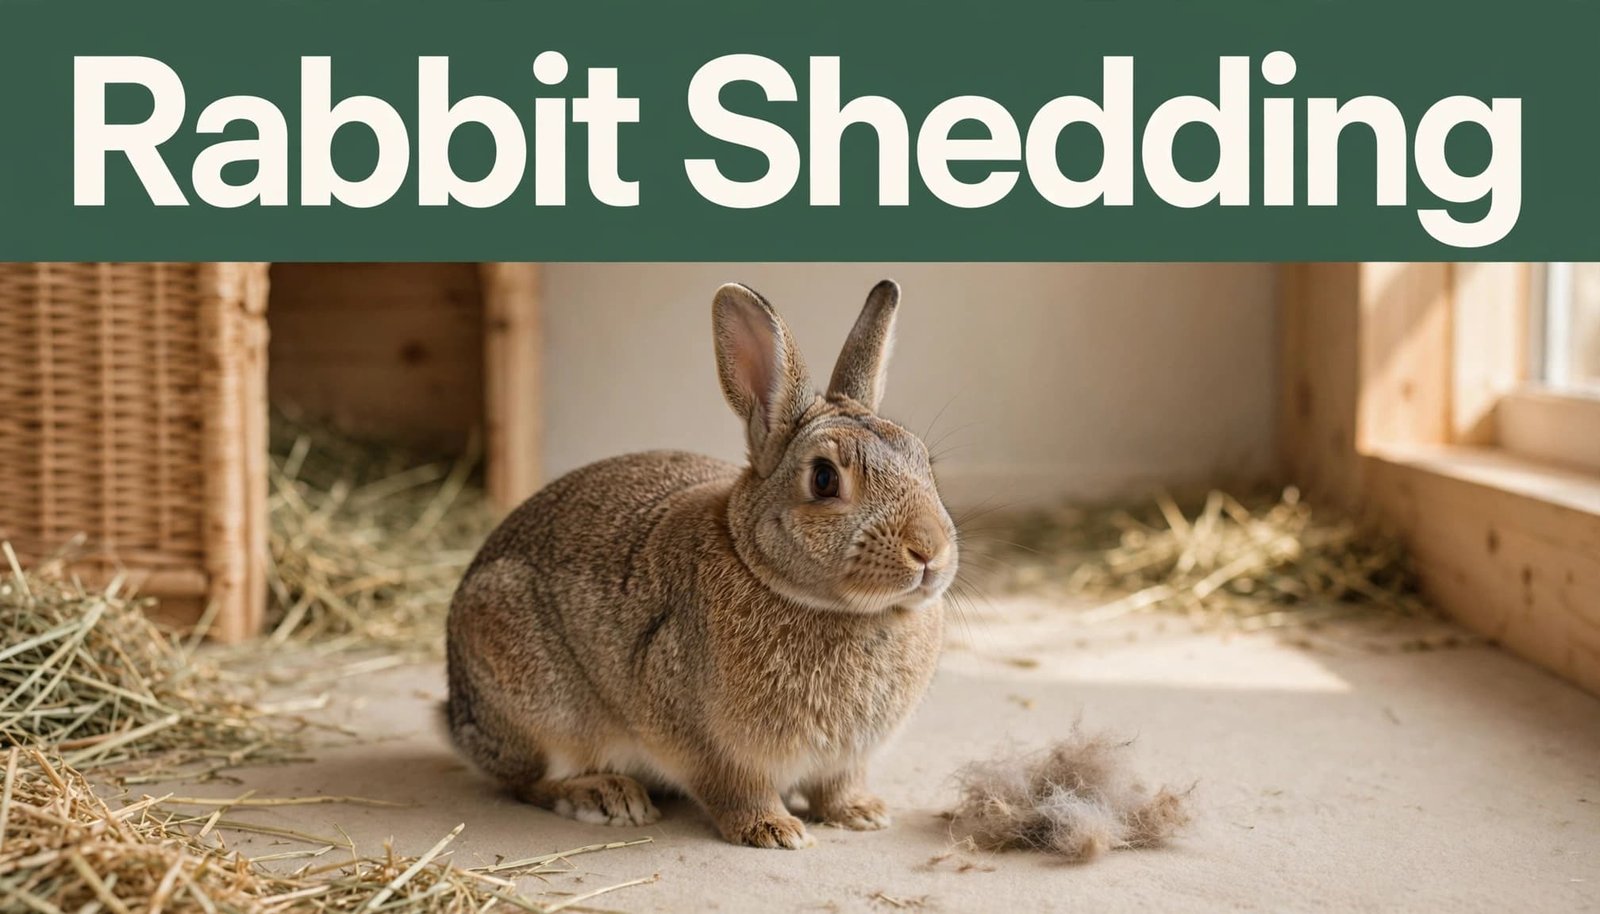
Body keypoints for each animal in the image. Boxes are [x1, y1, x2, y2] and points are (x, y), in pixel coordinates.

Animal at [444, 279, 957, 849]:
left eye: (924, 462)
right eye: (824, 479)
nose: (929, 550)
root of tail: (458, 715)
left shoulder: (844, 760)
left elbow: (838, 785)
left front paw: (863, 813)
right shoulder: (708, 744)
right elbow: (734, 788)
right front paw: (774, 830)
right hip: (540, 699)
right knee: (529, 780)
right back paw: (608, 797)